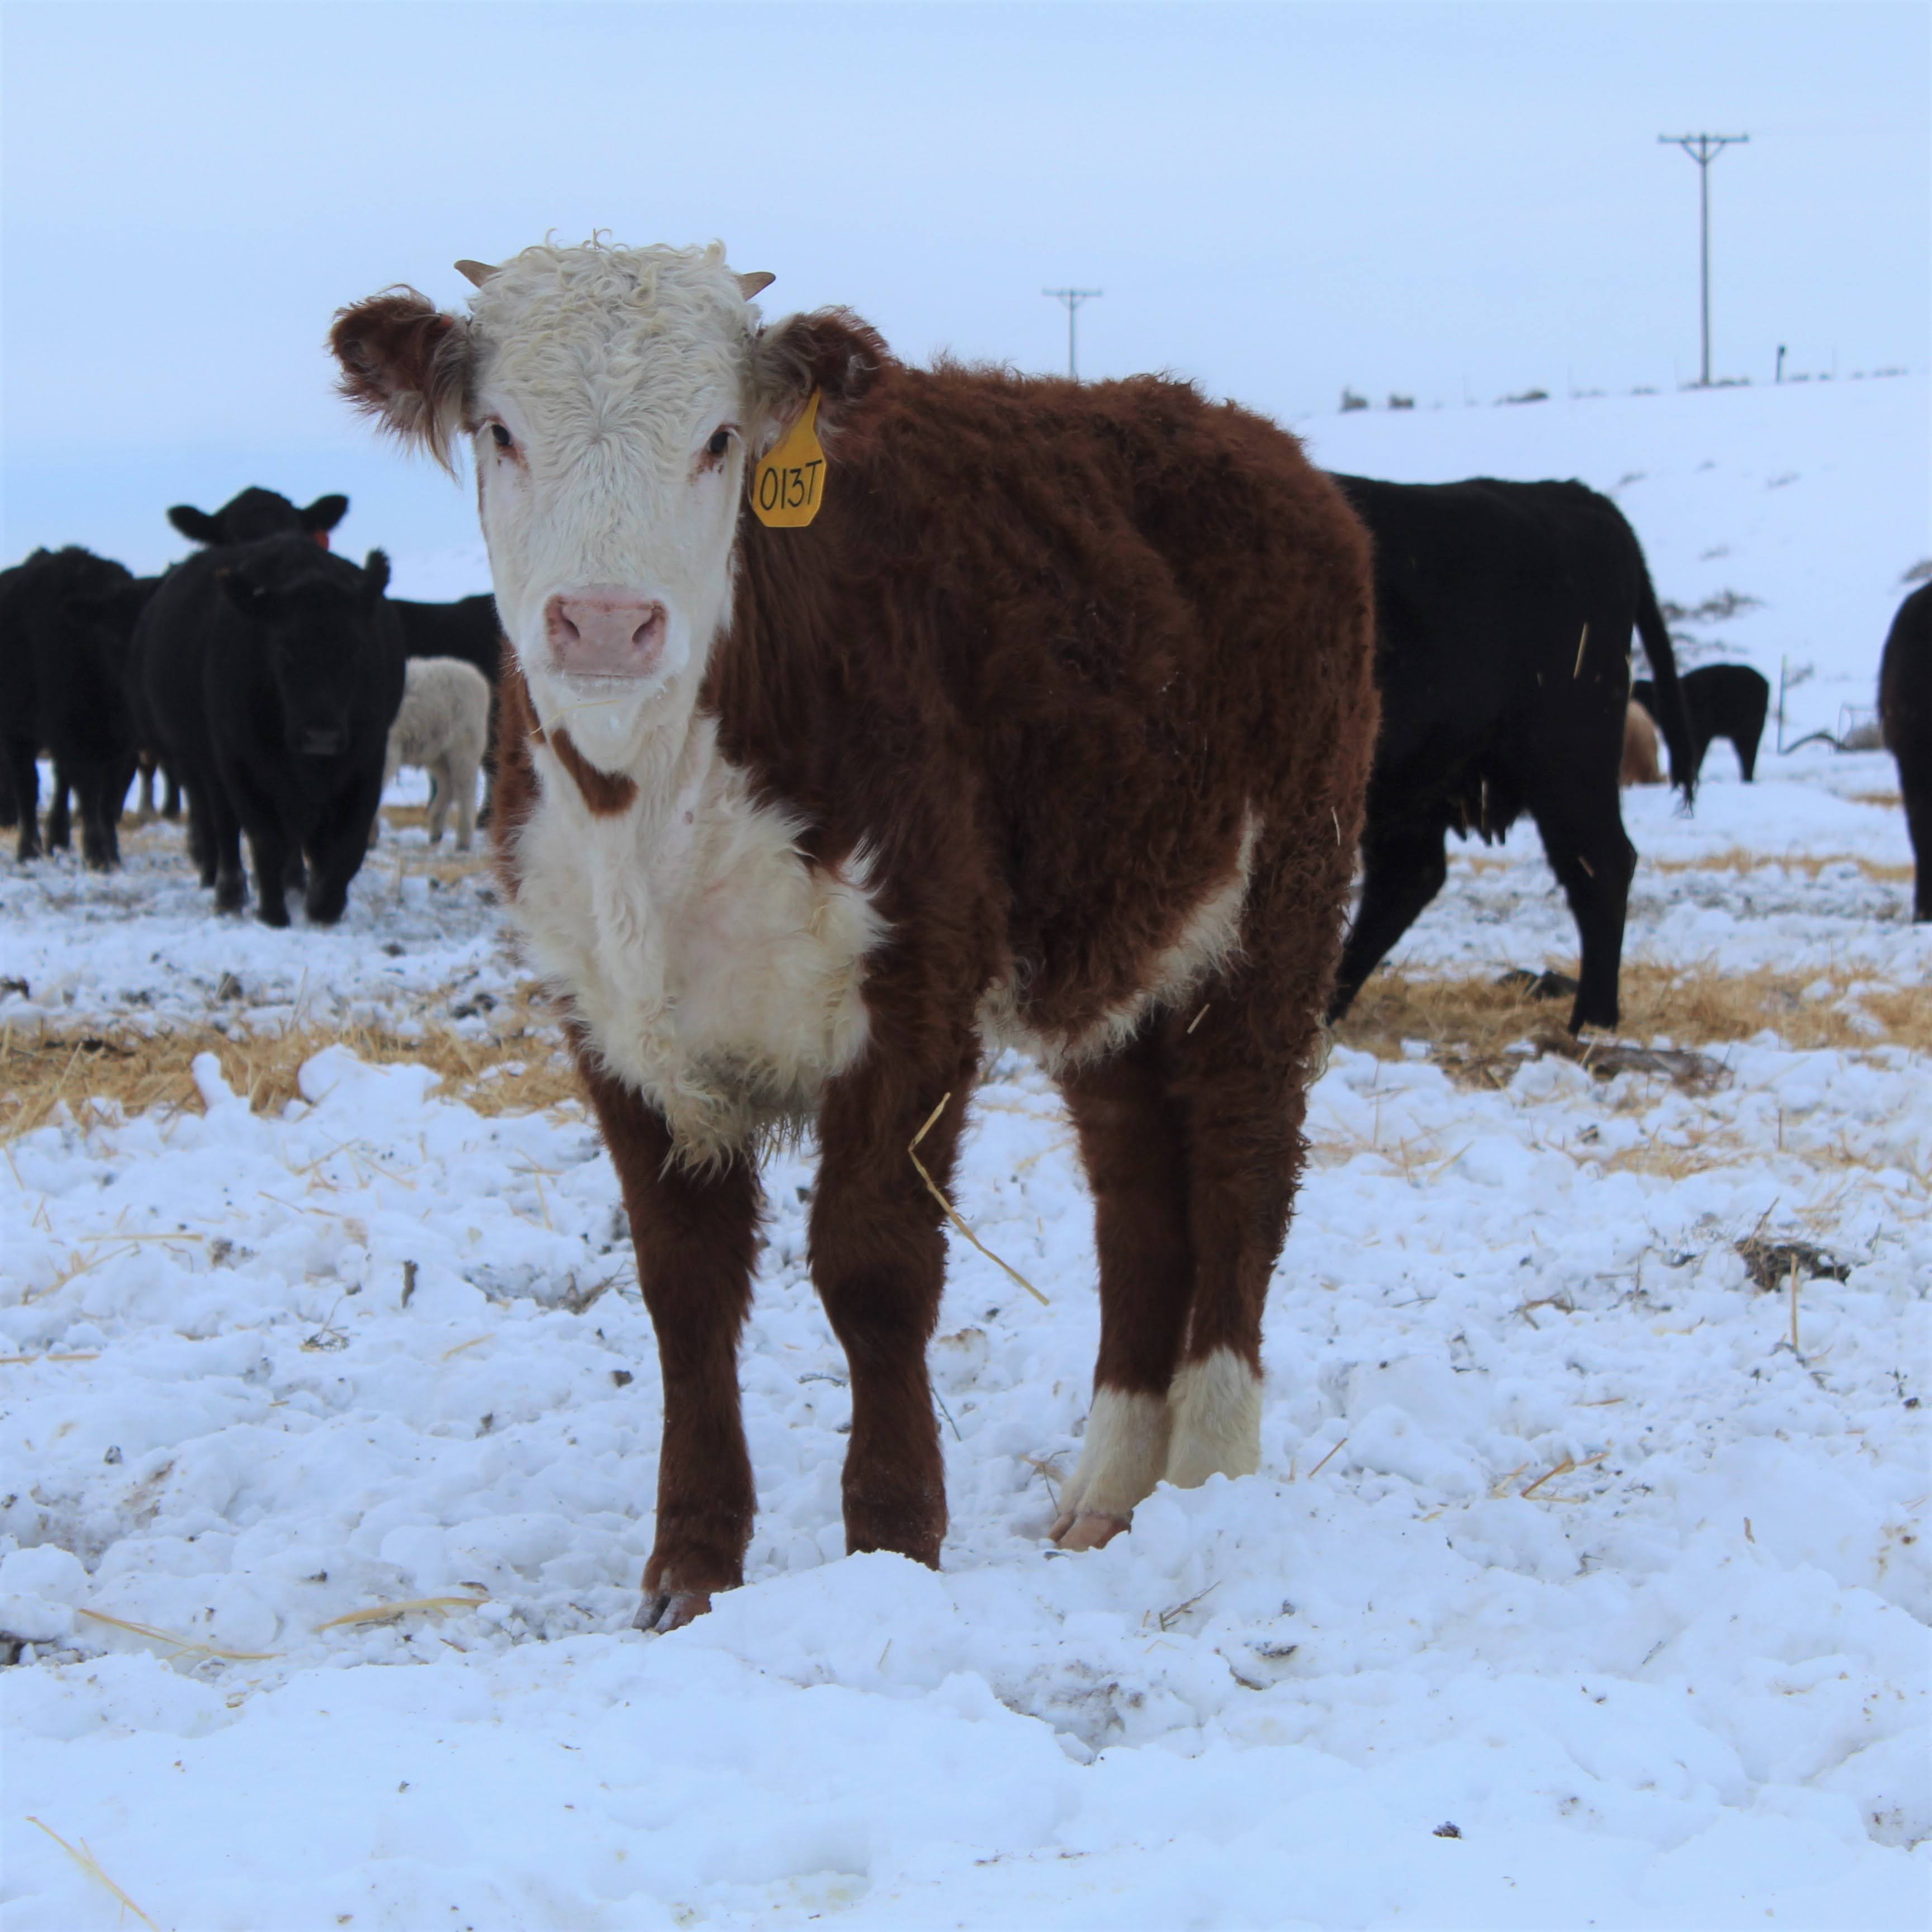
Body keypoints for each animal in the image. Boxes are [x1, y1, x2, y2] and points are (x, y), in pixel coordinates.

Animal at [0, 548, 157, 868]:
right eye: (110, 636)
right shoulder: (75, 735)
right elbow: (89, 795)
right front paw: (97, 854)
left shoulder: (122, 745)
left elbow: (108, 799)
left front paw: (112, 854)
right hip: (17, 729)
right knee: (27, 786)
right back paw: (29, 849)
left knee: (59, 782)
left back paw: (56, 839)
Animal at [137, 533, 401, 923]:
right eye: (282, 650)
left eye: (356, 650)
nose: (320, 736)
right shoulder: (239, 763)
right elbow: (265, 839)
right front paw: (273, 913)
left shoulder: (366, 758)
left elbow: (349, 843)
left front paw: (324, 902)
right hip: (197, 762)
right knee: (221, 824)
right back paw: (227, 890)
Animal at [375, 654, 491, 850]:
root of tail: (476, 676)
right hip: (437, 753)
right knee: (447, 786)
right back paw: (436, 834)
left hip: (464, 748)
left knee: (465, 791)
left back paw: (463, 842)